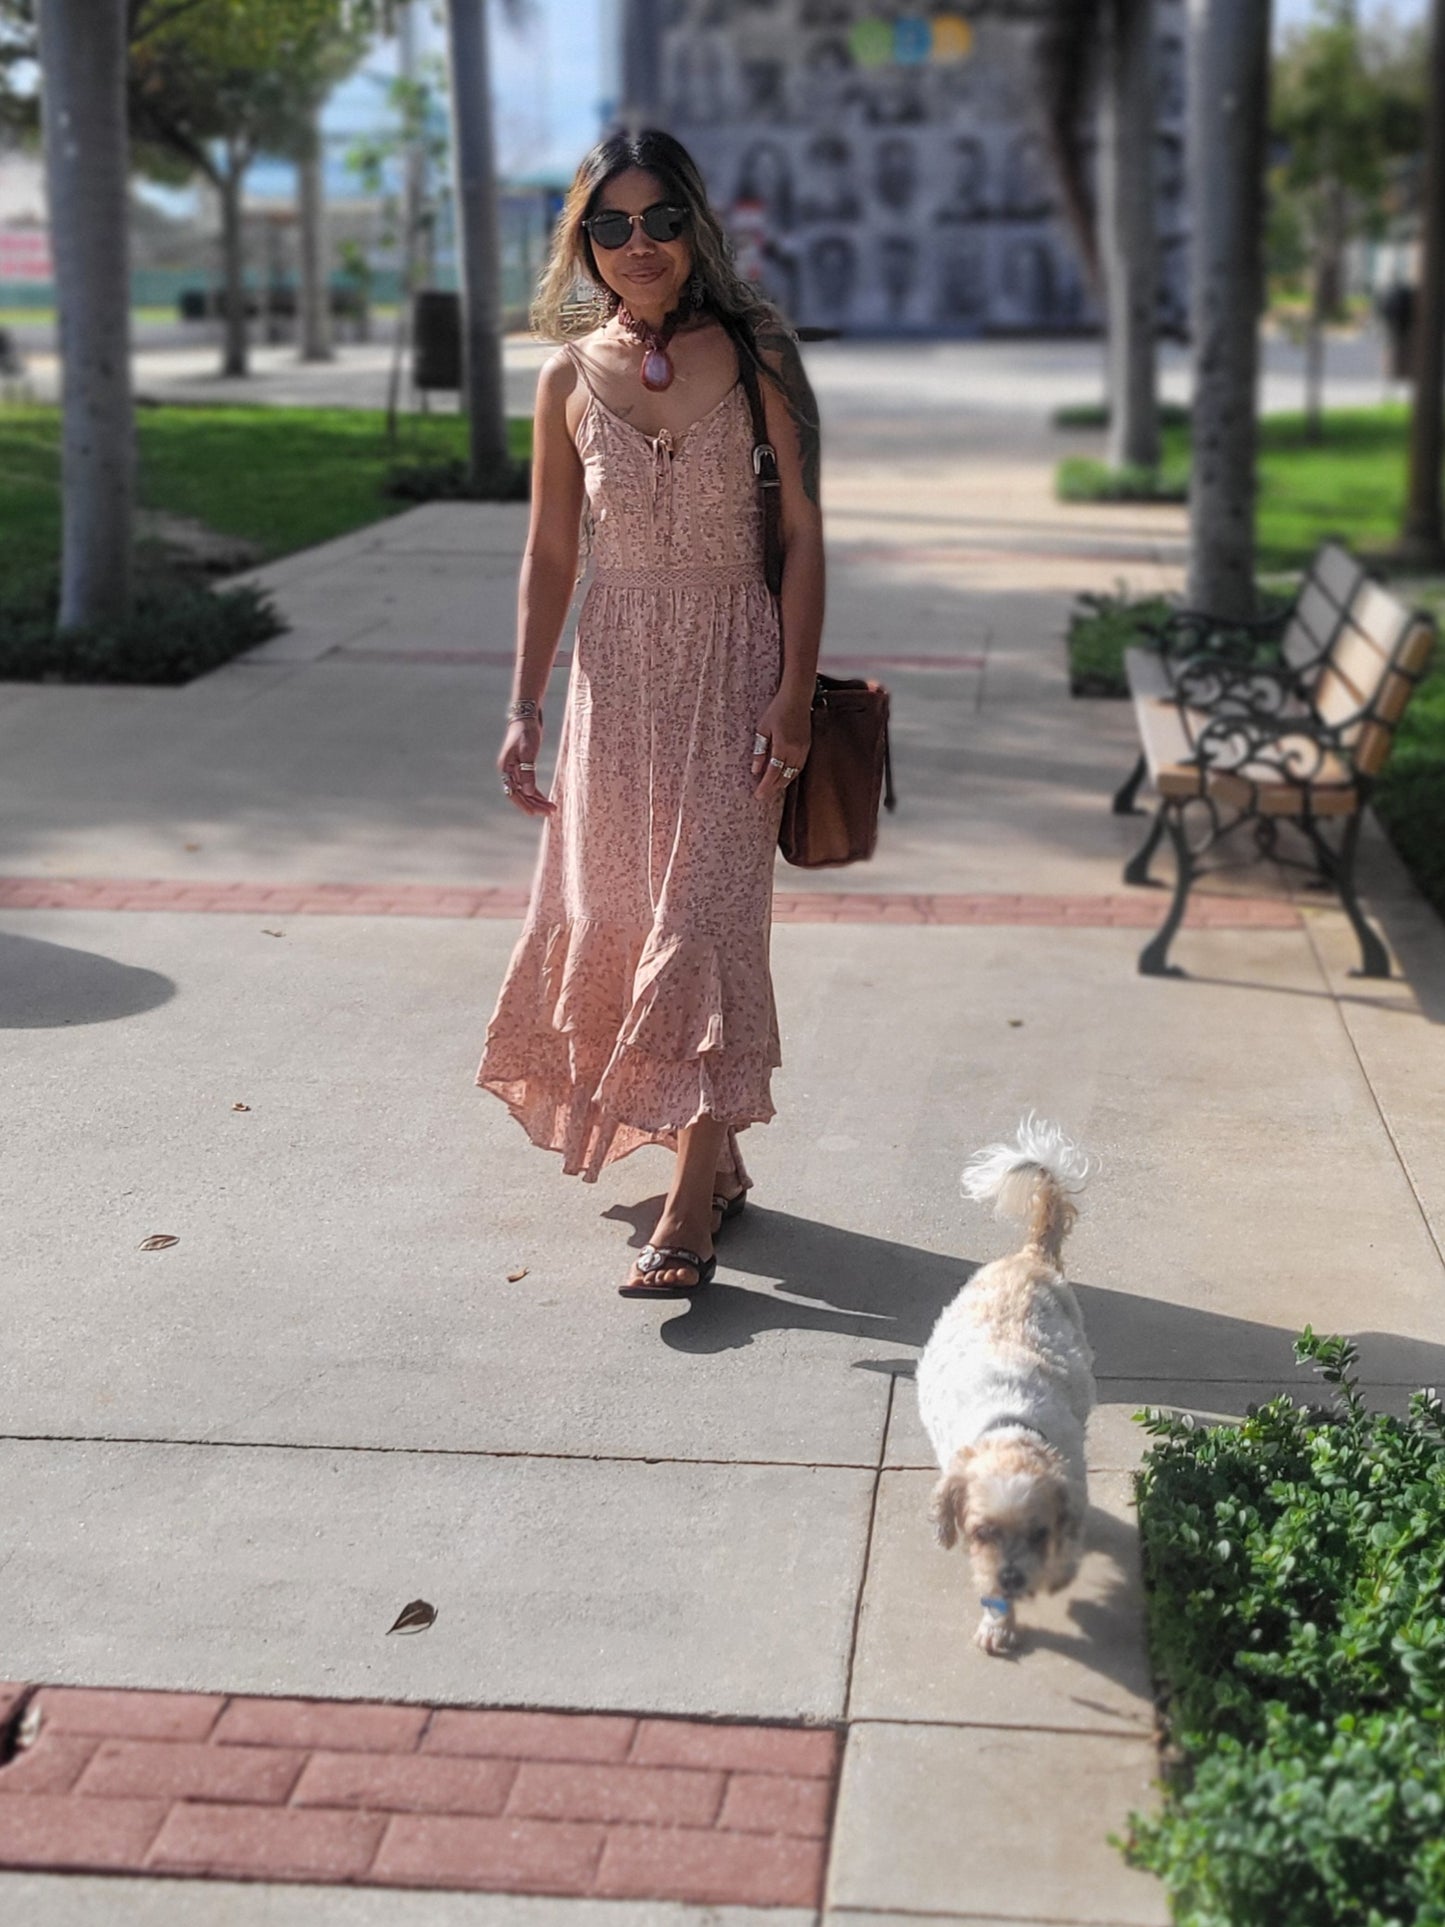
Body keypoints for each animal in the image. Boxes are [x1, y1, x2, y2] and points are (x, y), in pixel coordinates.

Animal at [920, 1117, 1094, 1657]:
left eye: (1039, 1533)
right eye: (981, 1532)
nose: (1013, 1579)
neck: (1011, 1426)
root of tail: (1029, 1255)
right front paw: (999, 1623)